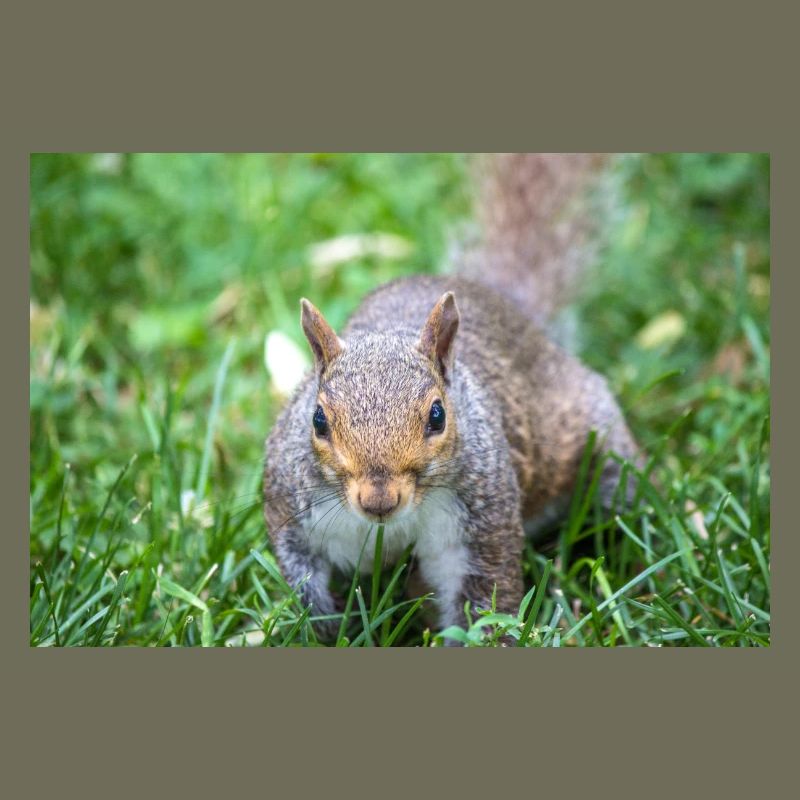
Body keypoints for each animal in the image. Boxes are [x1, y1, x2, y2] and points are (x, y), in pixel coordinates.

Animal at [263, 153, 640, 642]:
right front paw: (325, 628)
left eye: (438, 416)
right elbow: (301, 576)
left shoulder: (480, 526)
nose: (379, 501)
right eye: (318, 421)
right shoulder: (290, 509)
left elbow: (485, 598)